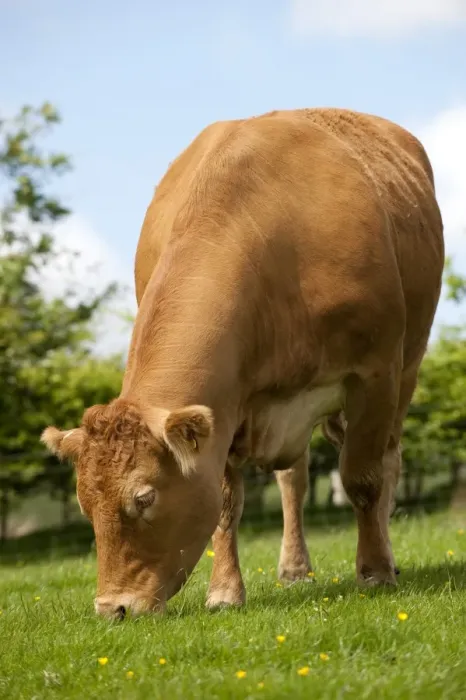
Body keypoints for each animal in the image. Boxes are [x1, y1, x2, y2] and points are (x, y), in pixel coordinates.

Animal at [41, 107, 444, 619]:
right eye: (85, 505)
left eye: (145, 498)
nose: (113, 608)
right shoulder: (225, 405)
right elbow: (226, 503)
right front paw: (225, 592)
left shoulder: (375, 373)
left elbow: (364, 479)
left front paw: (374, 573)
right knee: (294, 479)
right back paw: (294, 567)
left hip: (407, 366)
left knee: (388, 460)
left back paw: (385, 556)